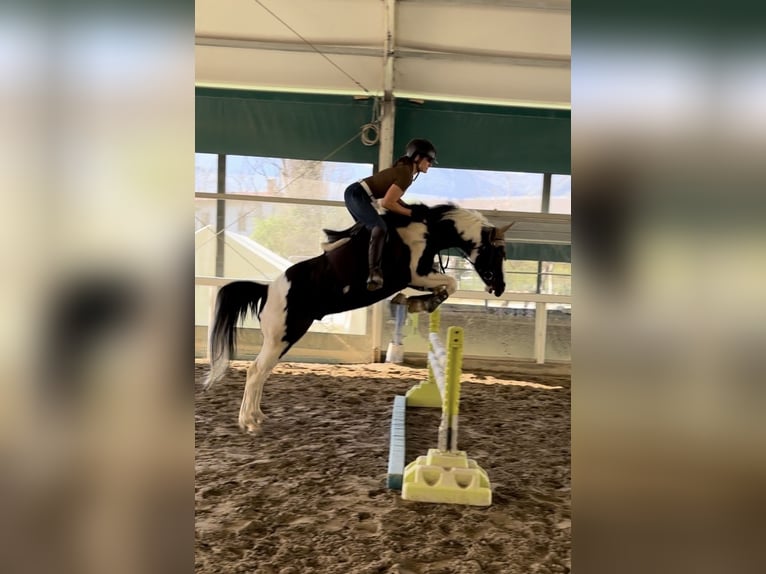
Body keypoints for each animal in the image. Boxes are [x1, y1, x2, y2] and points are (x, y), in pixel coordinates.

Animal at [204, 203, 511, 432]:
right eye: (498, 252)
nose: (500, 288)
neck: (426, 230)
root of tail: (268, 290)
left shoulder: (420, 277)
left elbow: (447, 285)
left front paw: (417, 302)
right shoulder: (414, 274)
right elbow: (451, 282)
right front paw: (423, 303)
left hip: (282, 339)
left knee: (262, 372)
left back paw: (258, 416)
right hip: (283, 336)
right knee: (256, 371)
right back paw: (249, 422)